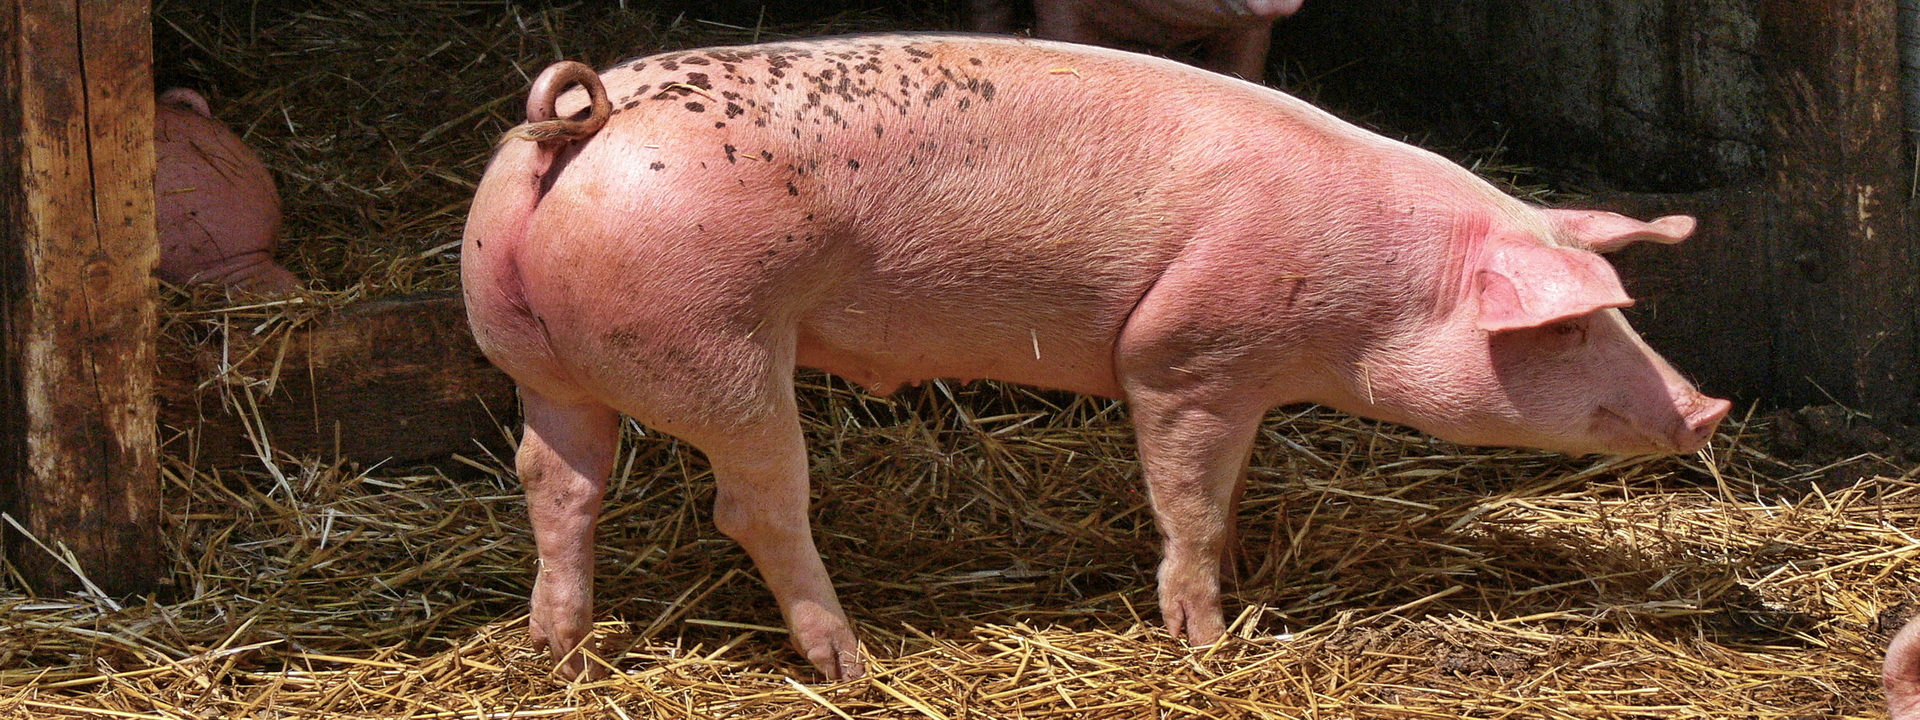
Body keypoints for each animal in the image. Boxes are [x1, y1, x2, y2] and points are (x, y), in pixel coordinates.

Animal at [461, 35, 1730, 681]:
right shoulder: (1188, 355)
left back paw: (556, 648)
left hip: (533, 352)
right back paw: (849, 662)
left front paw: (1246, 584)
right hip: (721, 344)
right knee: (753, 506)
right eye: (1567, 328)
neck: (1374, 288)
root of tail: (578, 125)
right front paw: (1207, 639)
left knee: (556, 481)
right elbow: (1186, 501)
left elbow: (1227, 499)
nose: (1710, 406)